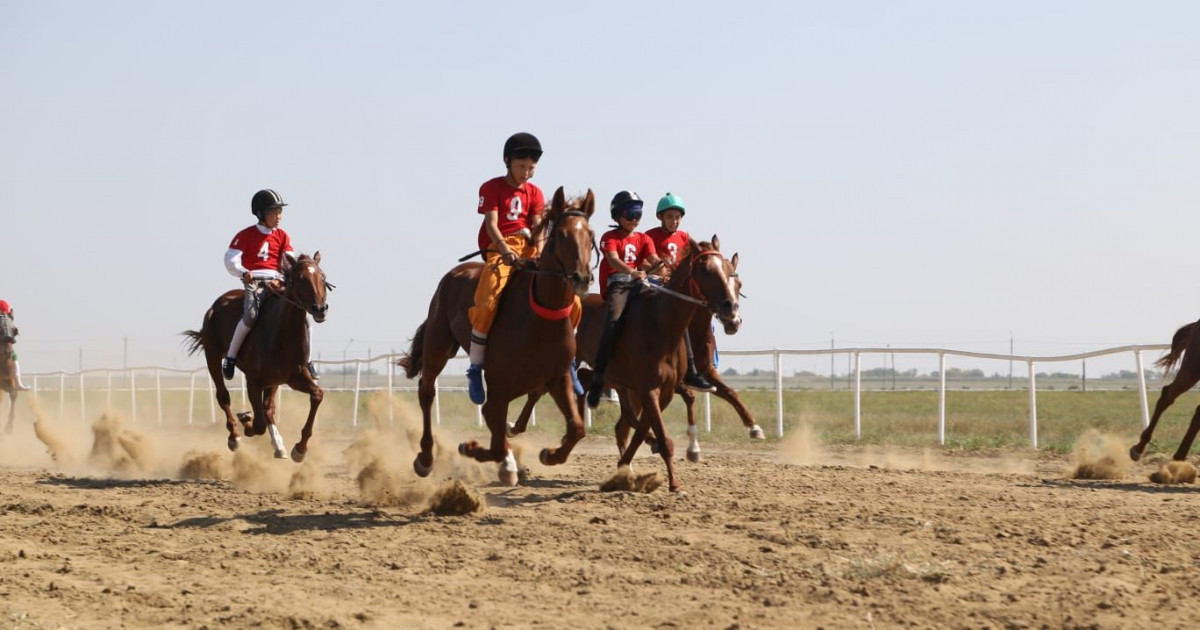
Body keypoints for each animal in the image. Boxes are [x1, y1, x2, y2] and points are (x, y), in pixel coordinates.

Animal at [180, 252, 328, 460]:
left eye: (322, 277)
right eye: (300, 278)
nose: (320, 308)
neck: (282, 335)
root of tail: (217, 304)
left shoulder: (294, 377)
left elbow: (317, 395)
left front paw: (300, 449)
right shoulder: (254, 381)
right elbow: (258, 424)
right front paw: (246, 421)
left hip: (274, 380)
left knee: (268, 408)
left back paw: (278, 445)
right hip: (213, 356)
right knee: (223, 396)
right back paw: (235, 436)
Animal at [398, 188, 595, 487]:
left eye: (591, 235)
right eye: (561, 235)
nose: (581, 277)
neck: (540, 321)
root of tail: (455, 273)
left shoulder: (557, 378)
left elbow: (577, 428)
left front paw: (549, 454)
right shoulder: (499, 386)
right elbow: (497, 438)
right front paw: (471, 448)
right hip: (438, 346)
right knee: (427, 391)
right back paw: (426, 457)